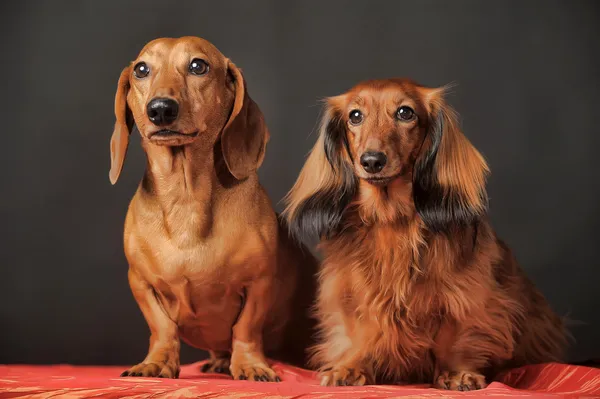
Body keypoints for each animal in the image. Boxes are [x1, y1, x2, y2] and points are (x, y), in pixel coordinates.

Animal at [108, 36, 318, 382]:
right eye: (141, 69)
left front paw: (250, 364)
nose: (160, 110)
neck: (186, 200)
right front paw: (157, 362)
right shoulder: (139, 281)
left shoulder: (258, 282)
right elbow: (162, 327)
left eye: (198, 66)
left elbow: (246, 328)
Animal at [282, 79, 568, 390]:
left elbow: (457, 333)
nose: (372, 161)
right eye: (355, 116)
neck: (392, 219)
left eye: (405, 112)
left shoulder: (466, 293)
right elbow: (355, 330)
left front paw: (457, 373)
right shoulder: (348, 290)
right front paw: (349, 367)